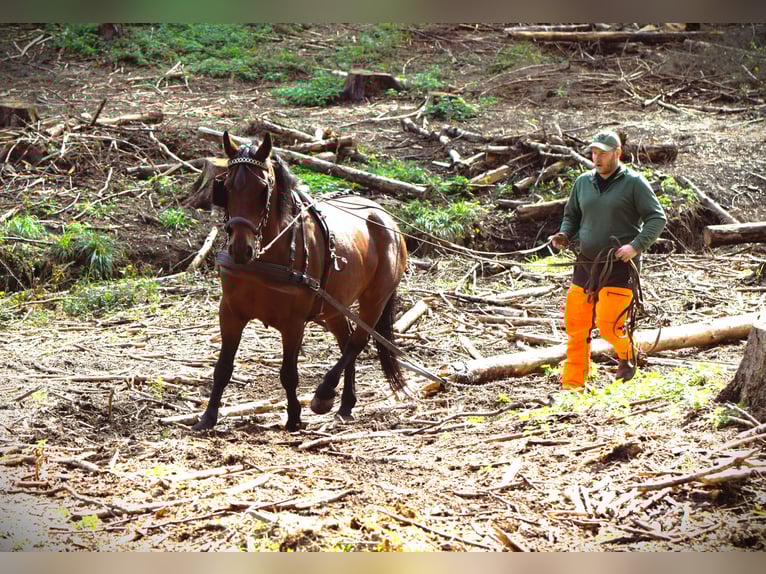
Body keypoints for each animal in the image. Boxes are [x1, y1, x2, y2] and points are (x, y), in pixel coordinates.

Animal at [192, 131, 408, 432]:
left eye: (263, 189)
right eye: (226, 188)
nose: (240, 249)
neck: (264, 257)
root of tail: (385, 217)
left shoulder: (293, 323)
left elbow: (288, 373)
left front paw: (294, 417)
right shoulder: (230, 312)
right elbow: (223, 367)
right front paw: (208, 417)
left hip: (376, 299)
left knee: (356, 343)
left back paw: (325, 394)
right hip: (333, 306)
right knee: (346, 340)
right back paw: (345, 404)